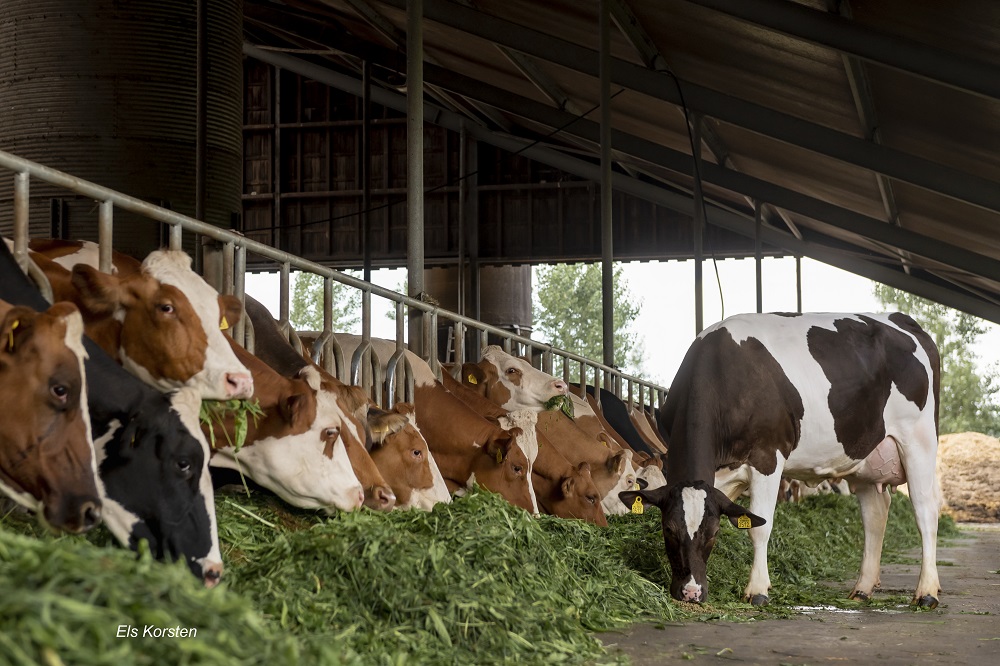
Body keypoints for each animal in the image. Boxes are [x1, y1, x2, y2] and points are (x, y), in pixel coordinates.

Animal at [620, 312, 940, 608]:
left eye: (713, 532)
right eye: (668, 529)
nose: (690, 592)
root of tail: (900, 318)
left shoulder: (768, 457)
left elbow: (760, 526)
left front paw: (758, 590)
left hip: (919, 441)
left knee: (925, 512)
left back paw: (927, 592)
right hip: (865, 457)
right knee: (875, 515)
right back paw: (862, 589)